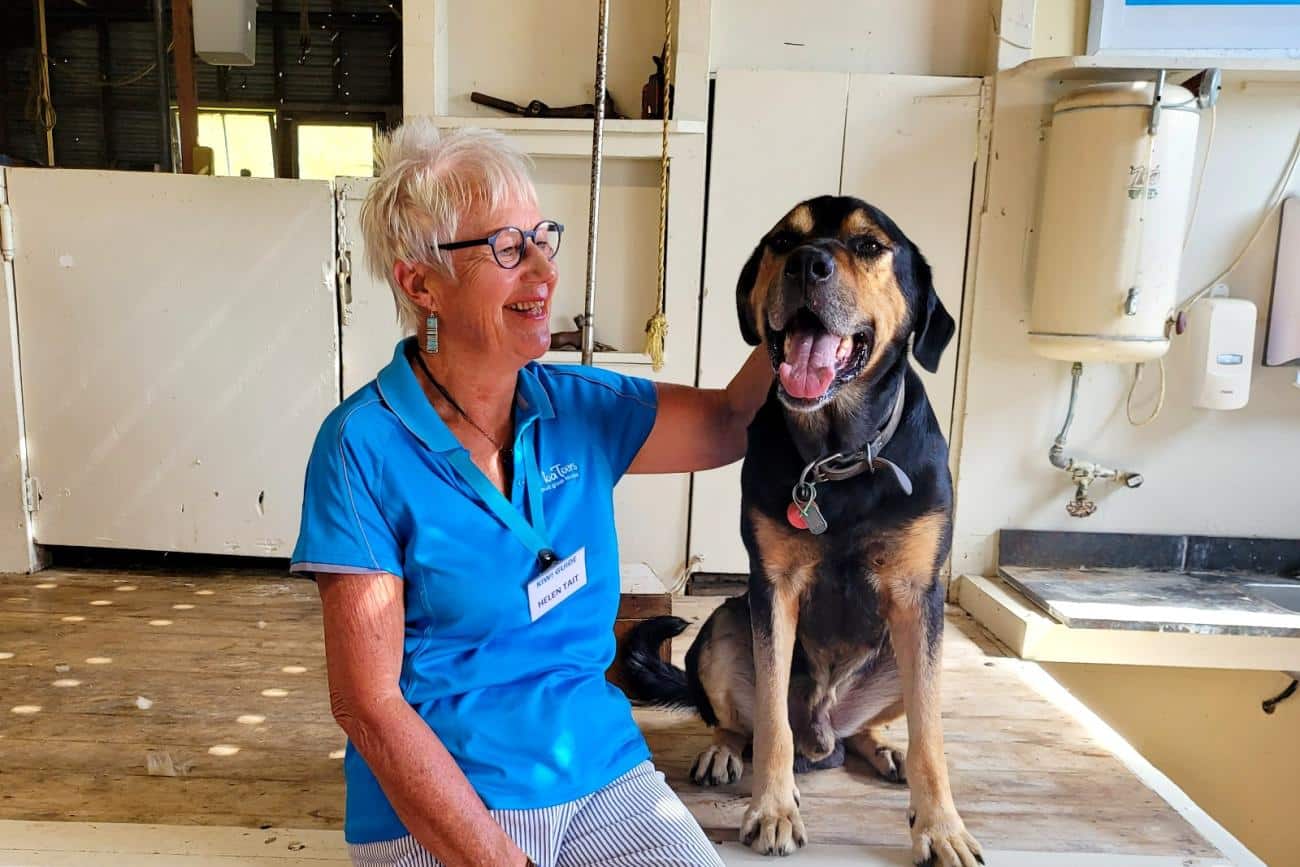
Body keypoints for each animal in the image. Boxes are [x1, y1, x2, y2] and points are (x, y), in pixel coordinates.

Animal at [624, 196, 977, 867]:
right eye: (783, 241)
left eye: (869, 246)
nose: (807, 264)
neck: (839, 457)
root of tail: (825, 735)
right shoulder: (773, 591)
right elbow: (771, 722)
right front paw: (773, 809)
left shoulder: (919, 600)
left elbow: (933, 736)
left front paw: (941, 826)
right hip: (721, 626)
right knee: (745, 722)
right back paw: (727, 751)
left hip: (903, 651)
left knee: (882, 722)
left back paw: (881, 745)